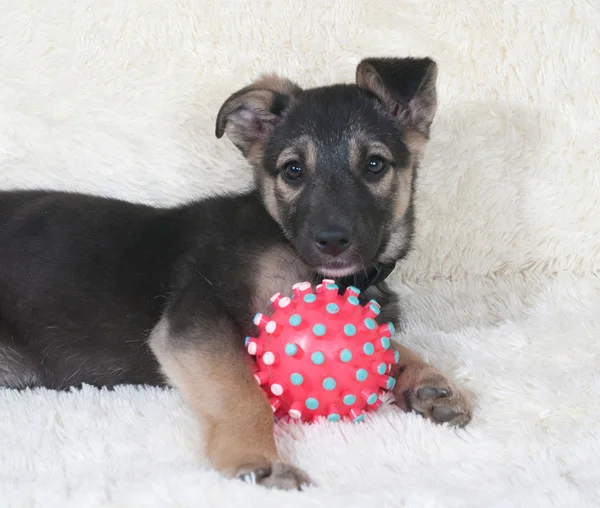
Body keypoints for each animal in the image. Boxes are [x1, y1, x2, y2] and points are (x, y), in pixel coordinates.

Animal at [0, 57, 474, 490]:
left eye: (375, 165)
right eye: (293, 170)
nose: (332, 241)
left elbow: (389, 344)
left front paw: (428, 381)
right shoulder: (195, 322)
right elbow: (243, 393)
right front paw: (257, 459)